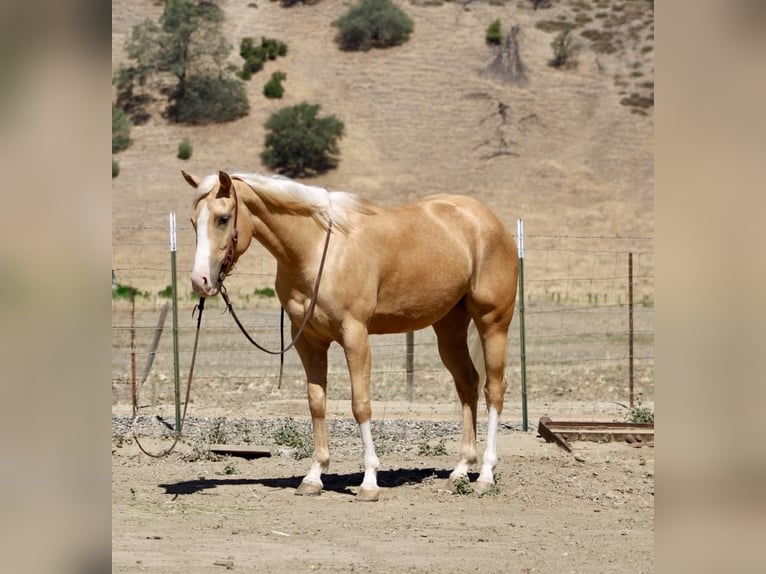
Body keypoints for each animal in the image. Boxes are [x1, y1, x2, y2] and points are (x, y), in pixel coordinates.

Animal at [183, 170, 519, 501]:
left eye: (223, 218)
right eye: (193, 221)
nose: (200, 281)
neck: (318, 249)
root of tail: (490, 222)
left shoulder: (355, 334)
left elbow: (360, 404)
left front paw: (369, 481)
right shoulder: (308, 341)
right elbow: (317, 403)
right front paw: (314, 476)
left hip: (493, 324)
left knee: (493, 390)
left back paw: (485, 475)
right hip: (449, 328)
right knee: (467, 385)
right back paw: (460, 470)